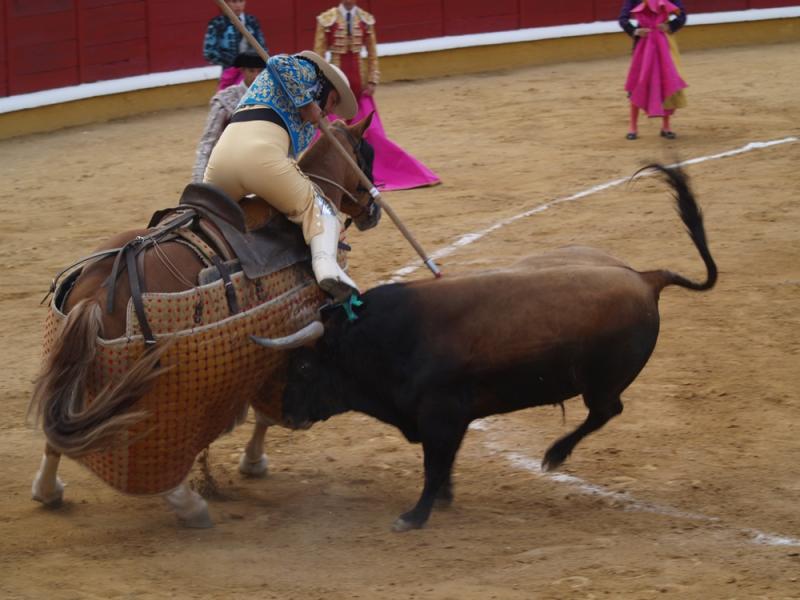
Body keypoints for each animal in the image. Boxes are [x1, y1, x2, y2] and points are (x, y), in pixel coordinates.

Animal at [28, 115, 378, 528]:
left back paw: (47, 490)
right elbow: (267, 413)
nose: (374, 209)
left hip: (73, 368)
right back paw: (189, 505)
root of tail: (98, 293)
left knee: (56, 427)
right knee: (153, 446)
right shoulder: (289, 345)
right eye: (367, 156)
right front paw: (253, 460)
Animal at [256, 164, 720, 528]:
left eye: (303, 367)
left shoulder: (441, 413)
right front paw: (441, 500)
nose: (286, 415)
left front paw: (414, 516)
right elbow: (444, 462)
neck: (385, 339)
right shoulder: (451, 418)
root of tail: (646, 278)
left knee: (606, 411)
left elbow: (434, 464)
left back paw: (554, 455)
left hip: (602, 384)